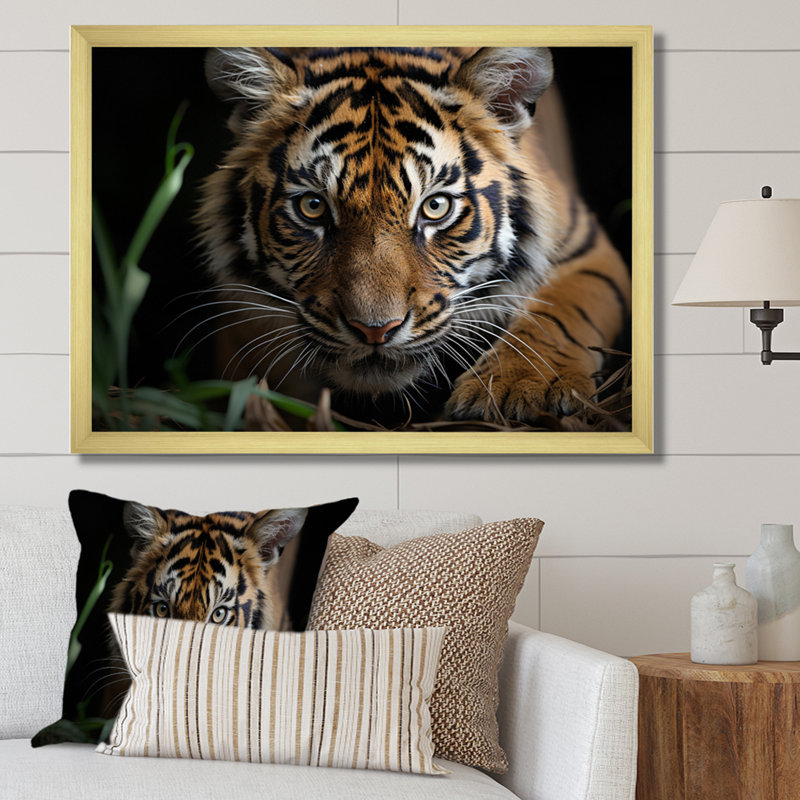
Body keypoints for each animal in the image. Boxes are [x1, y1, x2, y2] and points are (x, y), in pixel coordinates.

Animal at [195, 46, 631, 428]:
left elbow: (558, 313)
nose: (375, 330)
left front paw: (521, 387)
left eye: (435, 207)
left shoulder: (585, 247)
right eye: (313, 206)